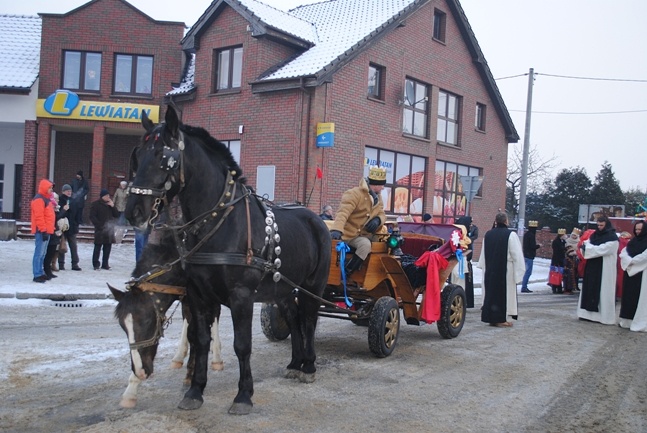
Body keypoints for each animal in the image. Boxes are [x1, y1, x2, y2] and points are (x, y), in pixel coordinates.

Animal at [124, 106, 332, 414]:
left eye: (164, 157)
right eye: (137, 156)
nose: (133, 211)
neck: (219, 221)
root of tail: (316, 217)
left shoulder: (241, 295)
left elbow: (242, 345)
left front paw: (243, 395)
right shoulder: (198, 295)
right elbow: (201, 341)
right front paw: (195, 391)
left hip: (312, 286)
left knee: (308, 319)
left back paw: (308, 366)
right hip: (281, 287)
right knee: (294, 318)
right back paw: (295, 363)